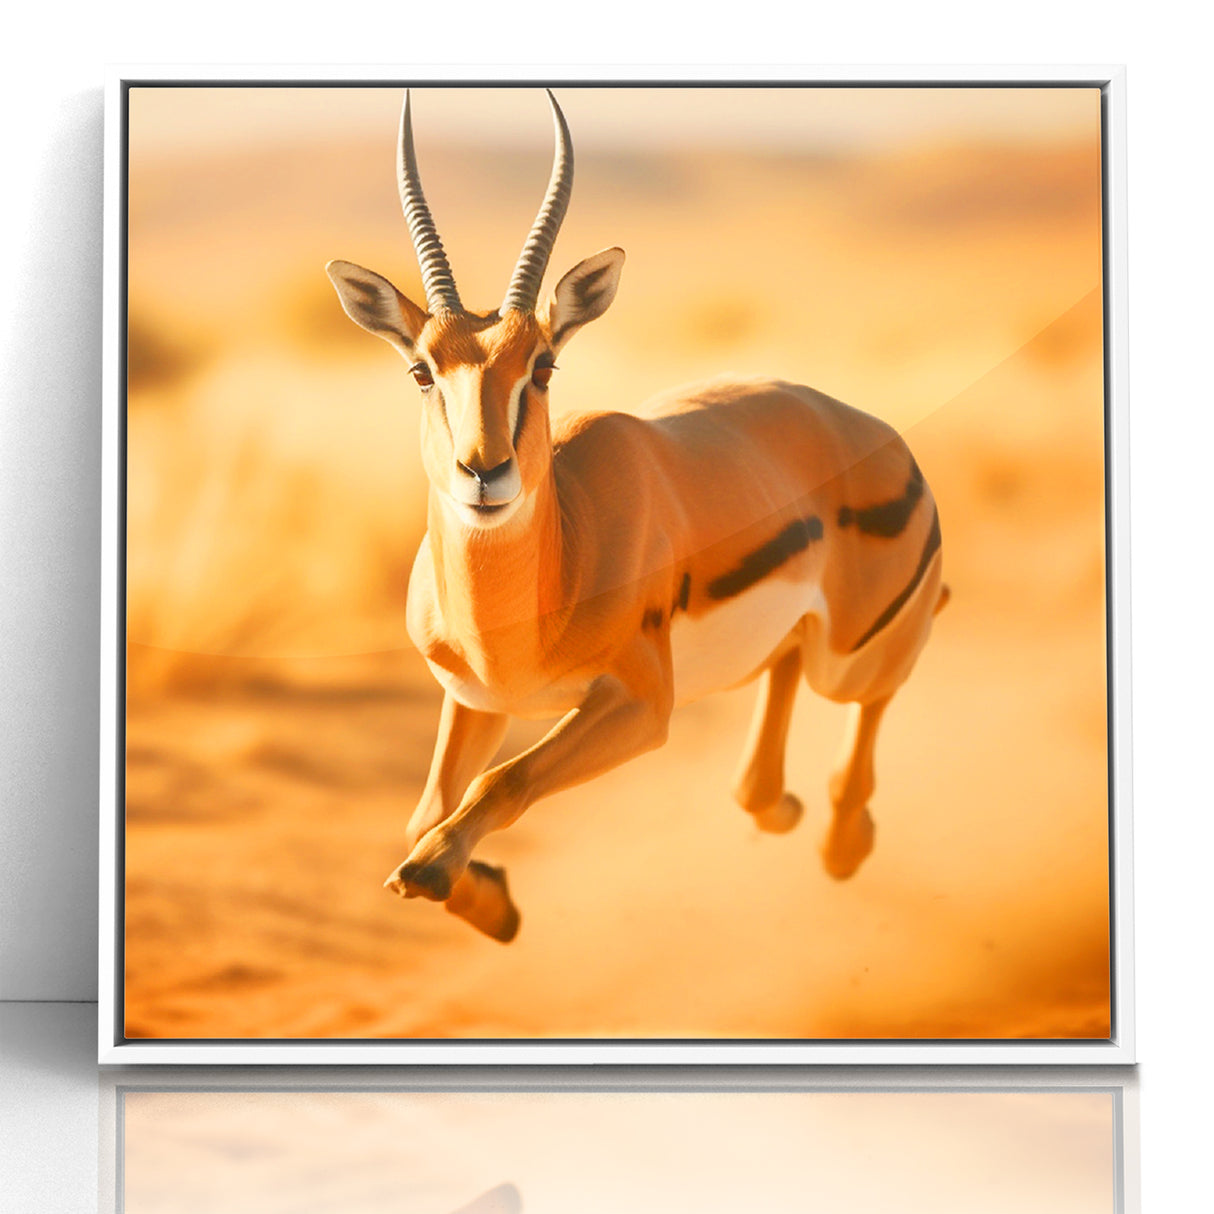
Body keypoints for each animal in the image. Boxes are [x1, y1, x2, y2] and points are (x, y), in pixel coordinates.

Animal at [327, 90, 948, 943]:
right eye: (422, 370)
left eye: (543, 365)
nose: (484, 472)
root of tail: (880, 435)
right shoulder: (478, 702)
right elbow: (424, 815)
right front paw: (493, 903)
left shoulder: (641, 705)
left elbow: (498, 785)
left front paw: (450, 878)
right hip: (803, 647)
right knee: (780, 690)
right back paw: (782, 809)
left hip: (849, 658)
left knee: (881, 676)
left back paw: (843, 841)